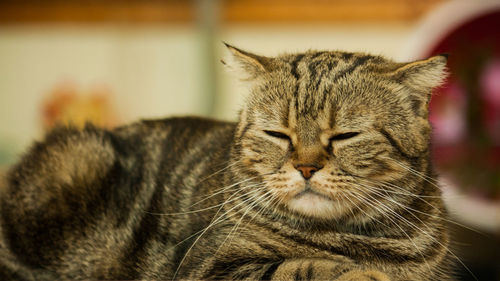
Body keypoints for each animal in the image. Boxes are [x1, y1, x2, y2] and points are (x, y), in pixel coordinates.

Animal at [0, 43, 454, 278]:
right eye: (278, 134)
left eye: (345, 136)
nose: (306, 168)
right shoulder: (211, 269)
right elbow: (305, 266)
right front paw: (359, 272)